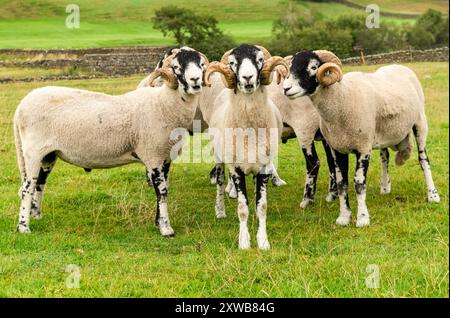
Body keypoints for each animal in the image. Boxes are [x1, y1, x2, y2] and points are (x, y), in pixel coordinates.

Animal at [14, 48, 209, 235]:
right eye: (176, 67)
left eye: (201, 65)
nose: (195, 81)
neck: (164, 103)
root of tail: (21, 106)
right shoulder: (153, 155)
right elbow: (162, 192)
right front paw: (166, 229)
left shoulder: (166, 157)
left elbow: (163, 189)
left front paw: (158, 221)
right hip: (32, 152)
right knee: (26, 188)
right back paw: (24, 227)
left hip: (48, 154)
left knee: (39, 183)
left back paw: (37, 215)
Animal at [203, 44, 290, 250]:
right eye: (233, 63)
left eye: (259, 59)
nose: (248, 77)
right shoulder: (236, 169)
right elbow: (243, 208)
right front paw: (244, 241)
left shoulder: (263, 168)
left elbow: (261, 206)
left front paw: (263, 241)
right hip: (219, 158)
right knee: (220, 182)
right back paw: (220, 210)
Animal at [284, 50, 442, 229]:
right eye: (290, 66)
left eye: (313, 67)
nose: (286, 88)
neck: (342, 98)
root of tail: (399, 66)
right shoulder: (337, 148)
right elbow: (342, 183)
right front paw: (344, 217)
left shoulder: (363, 147)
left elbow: (359, 184)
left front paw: (362, 218)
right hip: (383, 132)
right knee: (385, 157)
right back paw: (385, 187)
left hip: (420, 122)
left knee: (424, 160)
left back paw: (433, 195)